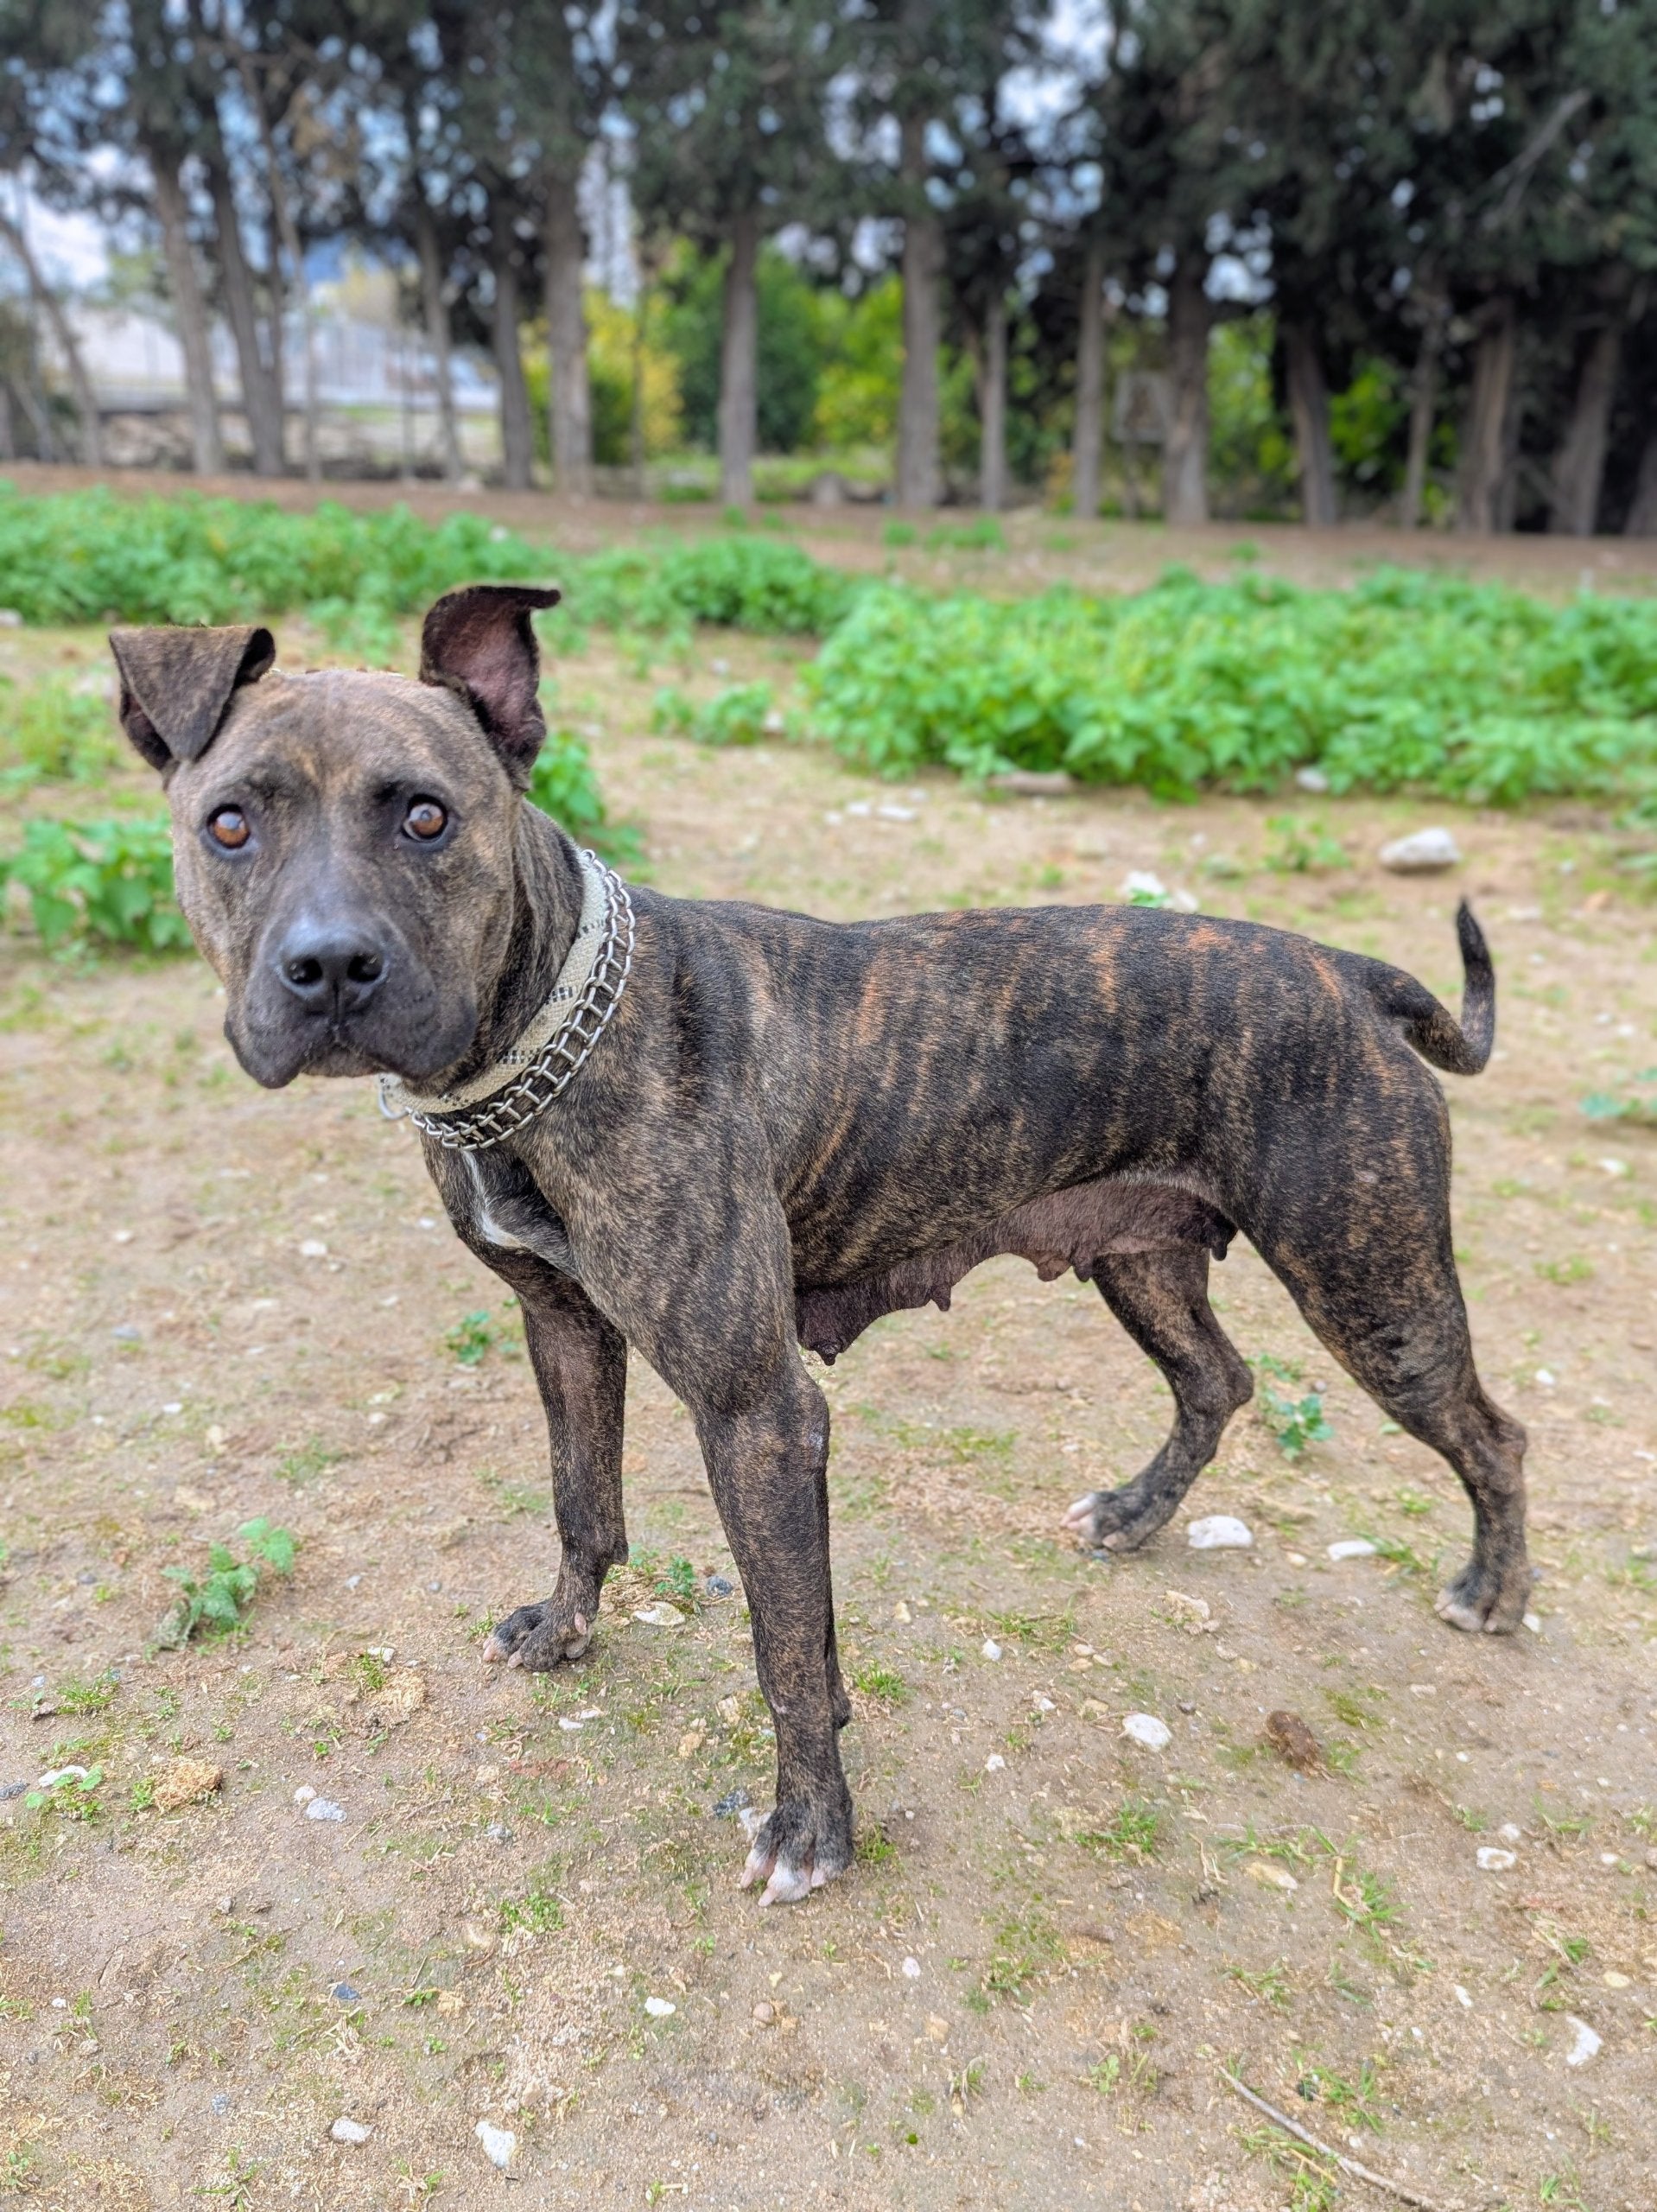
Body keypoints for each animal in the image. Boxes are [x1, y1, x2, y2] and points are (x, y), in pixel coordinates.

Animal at [109, 583, 1529, 1905]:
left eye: (426, 817)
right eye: (228, 824)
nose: (330, 967)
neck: (543, 1039)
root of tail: (1351, 975)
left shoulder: (757, 1413)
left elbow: (788, 1645)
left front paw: (811, 1826)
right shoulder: (561, 1331)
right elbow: (582, 1502)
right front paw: (568, 1630)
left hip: (1371, 1284)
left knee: (1491, 1434)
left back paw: (1492, 1593)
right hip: (1143, 1257)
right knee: (1216, 1381)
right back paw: (1133, 1512)